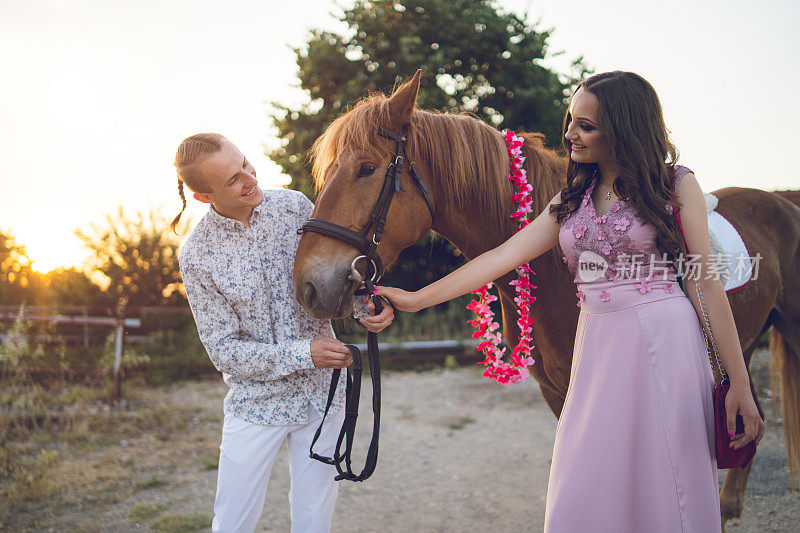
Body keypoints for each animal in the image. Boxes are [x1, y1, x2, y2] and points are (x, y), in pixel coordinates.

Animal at [294, 70, 800, 524]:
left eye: (366, 168)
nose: (307, 285)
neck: (552, 270)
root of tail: (780, 202)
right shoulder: (557, 392)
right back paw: (728, 506)